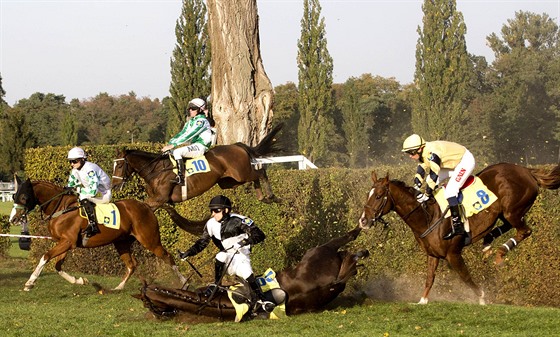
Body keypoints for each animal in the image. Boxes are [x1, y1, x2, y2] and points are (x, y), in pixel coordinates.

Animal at [8, 177, 187, 290]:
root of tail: (147, 206)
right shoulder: (65, 243)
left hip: (149, 240)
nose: (13, 219)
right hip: (121, 242)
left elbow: (45, 257)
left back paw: (184, 283)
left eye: (24, 197)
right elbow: (58, 266)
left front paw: (30, 282)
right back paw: (119, 287)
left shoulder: (67, 242)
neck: (62, 208)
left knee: (167, 256)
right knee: (132, 264)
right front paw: (80, 280)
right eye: (14, 196)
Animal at [131, 226, 368, 318]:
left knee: (347, 238)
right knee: (348, 261)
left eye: (151, 304)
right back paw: (360, 254)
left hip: (319, 251)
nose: (159, 315)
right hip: (330, 266)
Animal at [358, 163, 560, 304]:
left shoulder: (452, 253)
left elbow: (465, 276)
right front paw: (422, 301)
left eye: (378, 196)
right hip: (505, 213)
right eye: (368, 195)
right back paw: (488, 242)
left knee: (525, 230)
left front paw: (482, 298)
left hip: (512, 210)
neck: (428, 216)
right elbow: (429, 278)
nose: (363, 221)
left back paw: (500, 252)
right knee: (509, 226)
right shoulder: (433, 254)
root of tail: (526, 171)